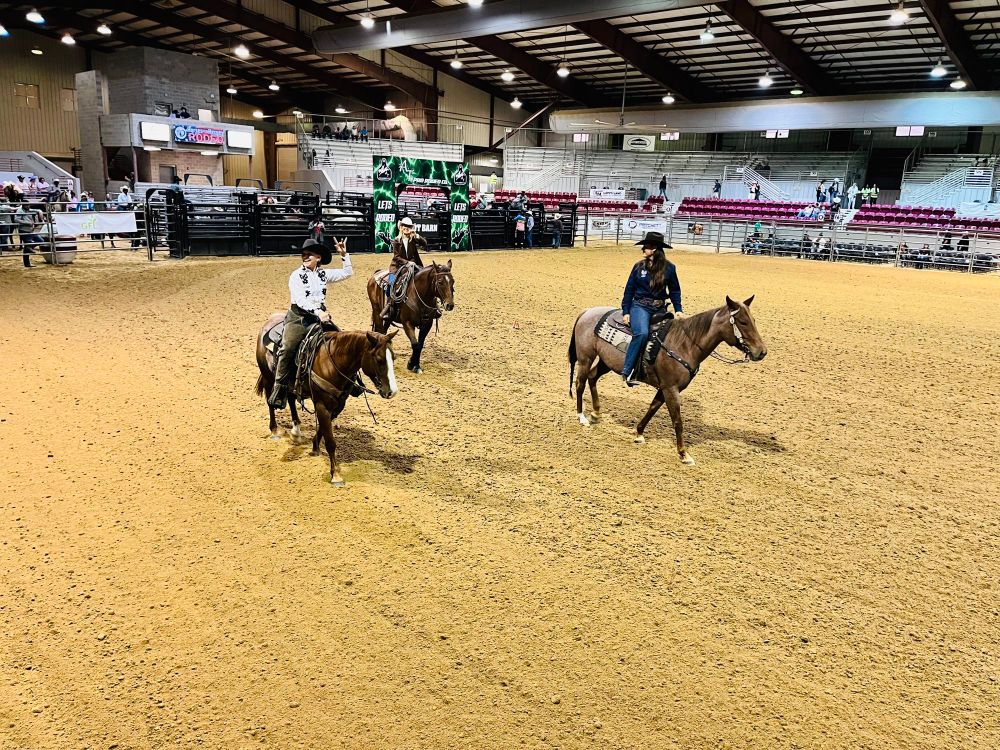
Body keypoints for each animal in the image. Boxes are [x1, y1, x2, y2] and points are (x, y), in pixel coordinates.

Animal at [255, 316, 399, 485]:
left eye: (393, 357)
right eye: (379, 359)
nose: (392, 392)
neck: (331, 362)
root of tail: (268, 323)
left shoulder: (338, 405)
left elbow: (323, 430)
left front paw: (315, 447)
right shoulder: (321, 405)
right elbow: (330, 441)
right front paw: (335, 475)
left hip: (289, 383)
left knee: (291, 400)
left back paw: (296, 430)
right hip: (268, 376)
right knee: (270, 401)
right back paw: (274, 430)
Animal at [568, 296, 767, 465]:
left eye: (754, 320)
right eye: (743, 322)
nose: (761, 352)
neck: (685, 344)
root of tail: (587, 311)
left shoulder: (664, 388)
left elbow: (652, 408)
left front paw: (639, 433)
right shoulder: (671, 388)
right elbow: (677, 421)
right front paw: (684, 454)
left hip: (606, 362)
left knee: (592, 378)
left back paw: (596, 413)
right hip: (586, 358)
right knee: (580, 383)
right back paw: (582, 417)